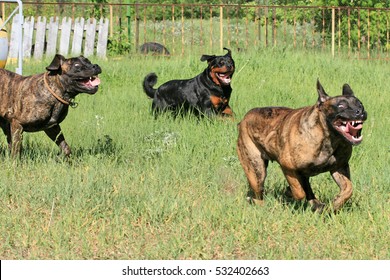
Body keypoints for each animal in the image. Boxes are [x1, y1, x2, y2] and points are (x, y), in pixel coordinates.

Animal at [236, 80, 368, 211]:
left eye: (360, 104)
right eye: (341, 106)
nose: (360, 112)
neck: (329, 137)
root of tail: (243, 120)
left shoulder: (339, 167)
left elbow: (348, 189)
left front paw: (335, 203)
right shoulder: (288, 167)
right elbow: (299, 192)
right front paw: (291, 193)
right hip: (256, 170)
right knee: (259, 190)